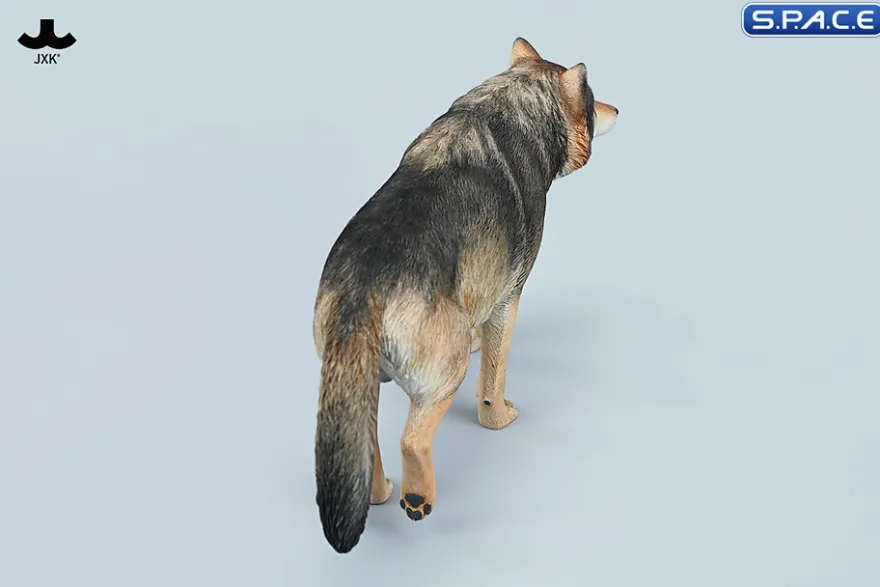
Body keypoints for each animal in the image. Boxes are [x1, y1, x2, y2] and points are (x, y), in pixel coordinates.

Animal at [312, 37, 618, 553]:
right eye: (594, 101)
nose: (618, 108)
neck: (508, 104)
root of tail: (363, 289)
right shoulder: (509, 299)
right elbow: (493, 377)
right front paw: (498, 417)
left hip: (355, 386)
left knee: (368, 447)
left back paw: (381, 491)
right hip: (445, 374)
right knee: (412, 440)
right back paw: (417, 498)